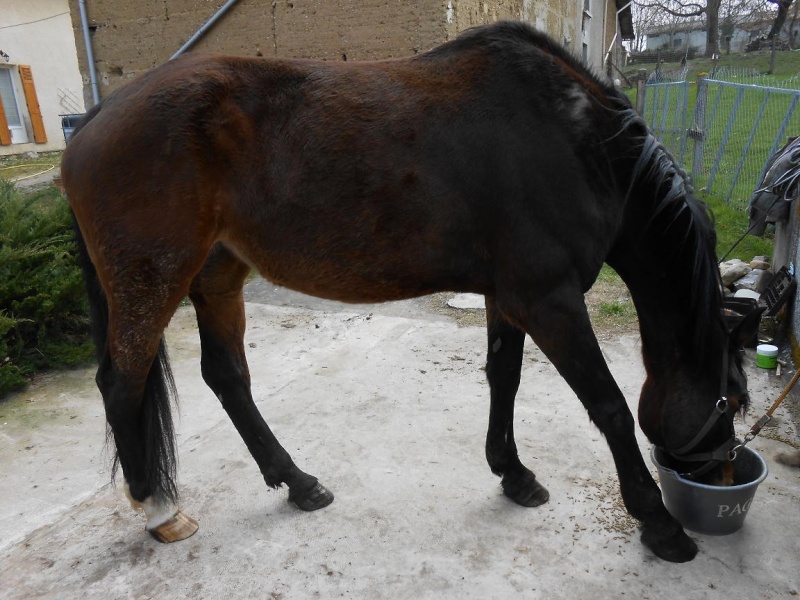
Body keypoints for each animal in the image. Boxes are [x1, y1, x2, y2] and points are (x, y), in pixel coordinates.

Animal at [64, 19, 764, 564]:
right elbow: (610, 405)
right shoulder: (551, 300)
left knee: (227, 377)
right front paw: (660, 522)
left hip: (217, 276)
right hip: (152, 280)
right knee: (122, 385)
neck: (579, 144)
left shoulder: (508, 297)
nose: (722, 475)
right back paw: (159, 510)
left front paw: (513, 474)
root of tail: (97, 117)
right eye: (729, 400)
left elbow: (504, 377)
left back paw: (298, 482)